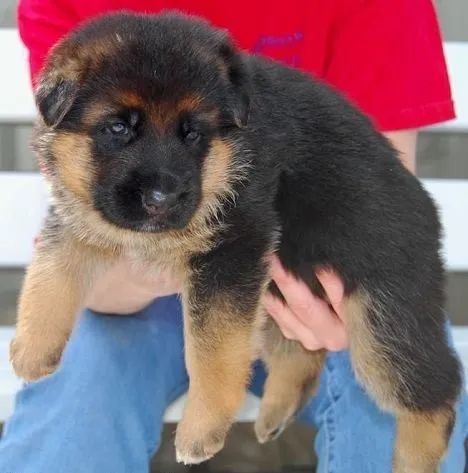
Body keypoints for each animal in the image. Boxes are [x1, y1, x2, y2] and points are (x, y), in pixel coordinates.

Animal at [11, 12, 460, 472]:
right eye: (117, 128)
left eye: (192, 134)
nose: (162, 198)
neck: (228, 152)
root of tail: (426, 206)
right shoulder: (85, 216)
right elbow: (51, 269)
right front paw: (32, 347)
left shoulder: (233, 250)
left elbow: (211, 352)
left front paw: (201, 430)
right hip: (284, 290)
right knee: (304, 352)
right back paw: (277, 412)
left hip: (379, 315)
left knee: (437, 388)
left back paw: (414, 459)